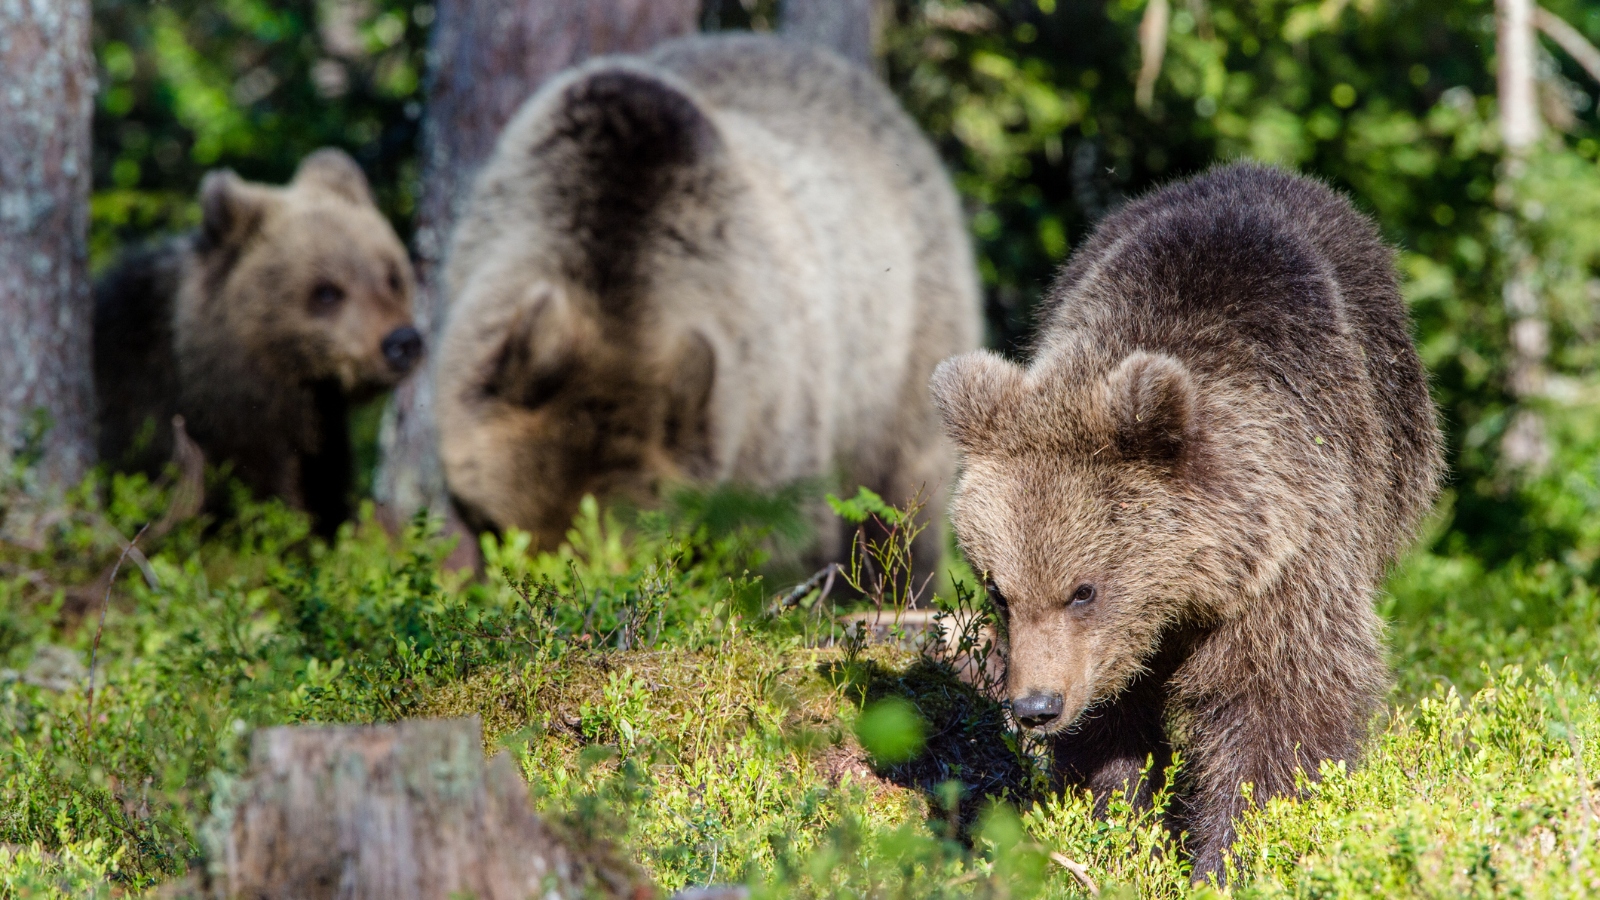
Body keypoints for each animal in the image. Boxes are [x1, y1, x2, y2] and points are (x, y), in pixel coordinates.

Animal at [930, 164, 1443, 879]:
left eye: (1083, 589)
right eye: (999, 592)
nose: (1035, 707)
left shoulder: (1288, 555)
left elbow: (1280, 700)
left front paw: (1231, 850)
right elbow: (1115, 723)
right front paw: (1122, 823)